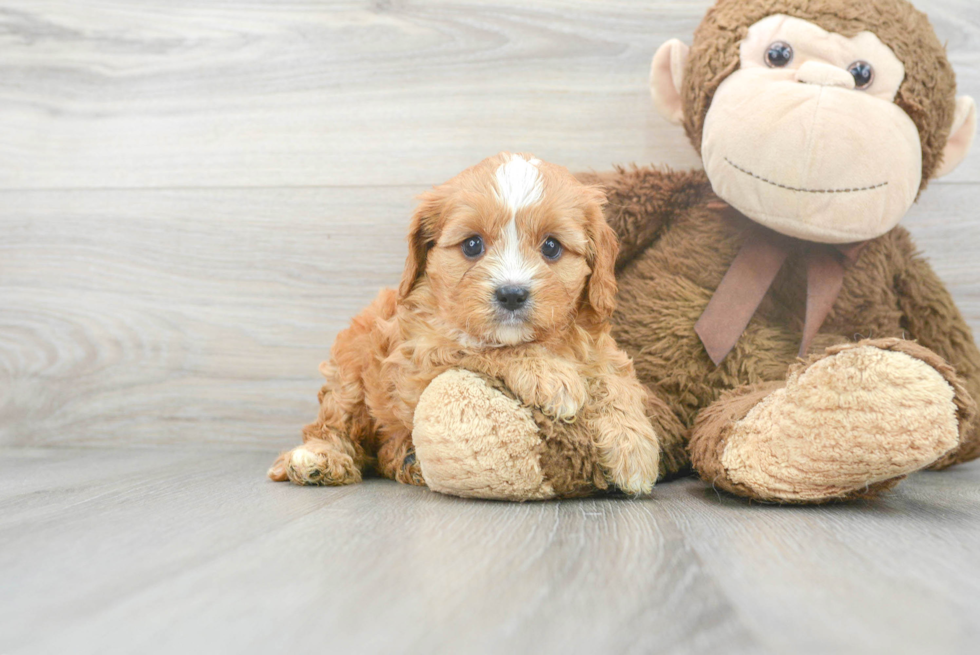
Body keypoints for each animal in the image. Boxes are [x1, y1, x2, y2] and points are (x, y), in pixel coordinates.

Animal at [270, 151, 660, 494]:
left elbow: (616, 383)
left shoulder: (600, 350)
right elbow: (483, 348)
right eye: (472, 245)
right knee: (334, 425)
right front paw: (550, 375)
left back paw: (407, 462)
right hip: (350, 371)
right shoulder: (422, 355)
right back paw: (319, 459)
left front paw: (635, 447)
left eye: (551, 247)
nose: (512, 294)